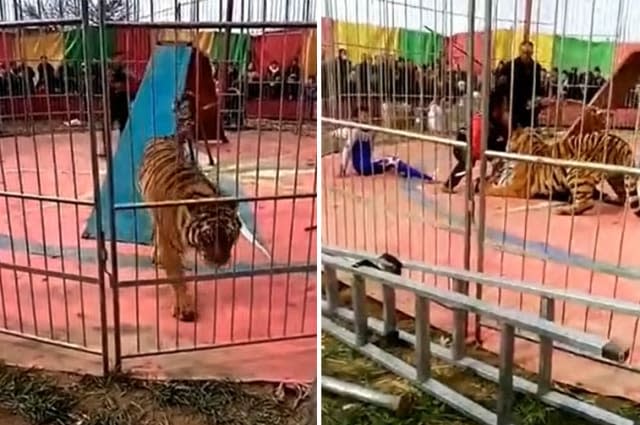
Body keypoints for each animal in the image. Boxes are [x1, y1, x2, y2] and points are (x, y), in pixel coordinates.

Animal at [482, 127, 640, 215]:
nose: (505, 146)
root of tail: (621, 142)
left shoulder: (516, 187)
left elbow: (495, 190)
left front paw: (485, 187)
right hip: (615, 177)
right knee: (623, 197)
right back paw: (610, 199)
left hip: (575, 172)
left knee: (588, 202)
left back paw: (564, 210)